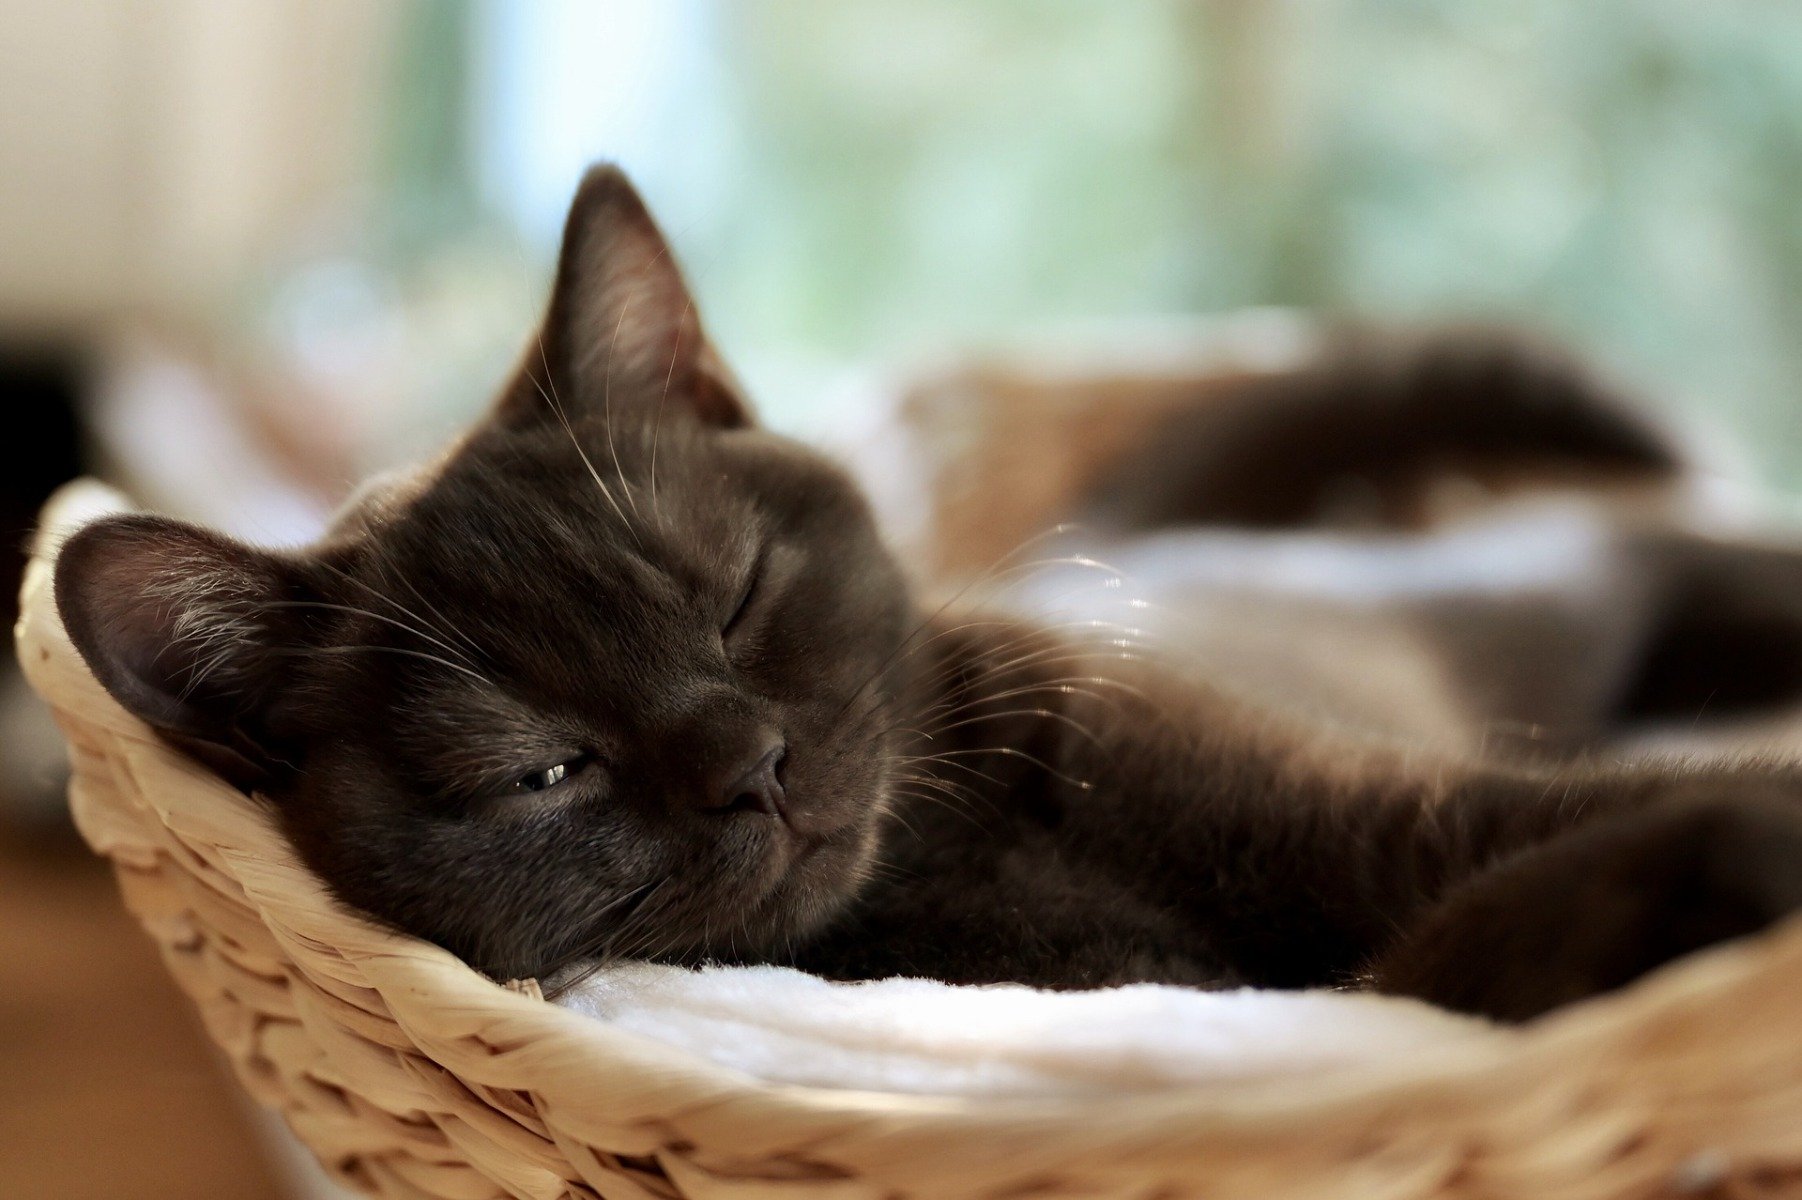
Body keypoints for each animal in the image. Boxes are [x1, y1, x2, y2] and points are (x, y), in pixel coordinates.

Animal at [49, 161, 1802, 1016]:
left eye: (739, 593)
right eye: (541, 772)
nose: (748, 765)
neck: (957, 852)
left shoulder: (1378, 814)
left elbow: (1511, 854)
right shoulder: (1269, 988)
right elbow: (1460, 951)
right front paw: (1734, 848)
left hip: (1554, 588)